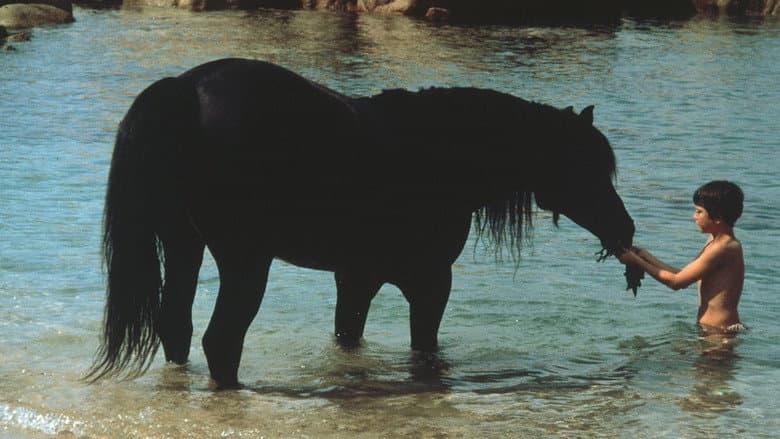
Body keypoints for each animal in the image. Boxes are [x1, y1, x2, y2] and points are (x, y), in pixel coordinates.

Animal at [87, 58, 636, 388]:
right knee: (220, 340)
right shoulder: (430, 282)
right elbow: (425, 350)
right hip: (245, 261)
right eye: (586, 166)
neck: (441, 152)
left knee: (176, 327)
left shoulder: (357, 277)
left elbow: (348, 339)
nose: (625, 230)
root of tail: (184, 89)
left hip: (185, 246)